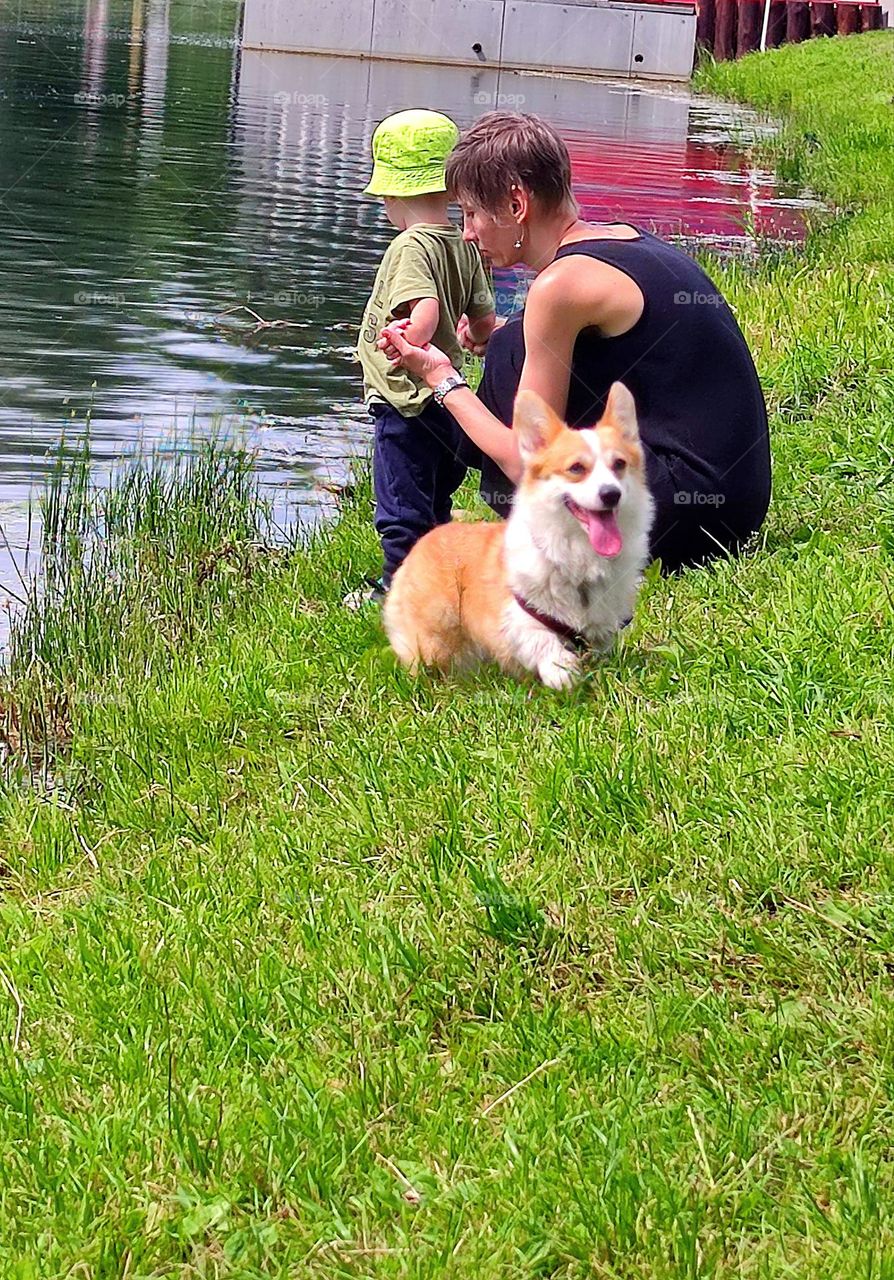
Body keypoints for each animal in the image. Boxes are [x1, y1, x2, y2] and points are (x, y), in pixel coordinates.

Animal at [379, 381, 650, 691]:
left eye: (619, 464)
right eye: (576, 468)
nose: (611, 494)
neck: (577, 555)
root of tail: (425, 539)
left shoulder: (602, 626)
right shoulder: (512, 614)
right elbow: (540, 637)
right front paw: (562, 669)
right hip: (434, 639)